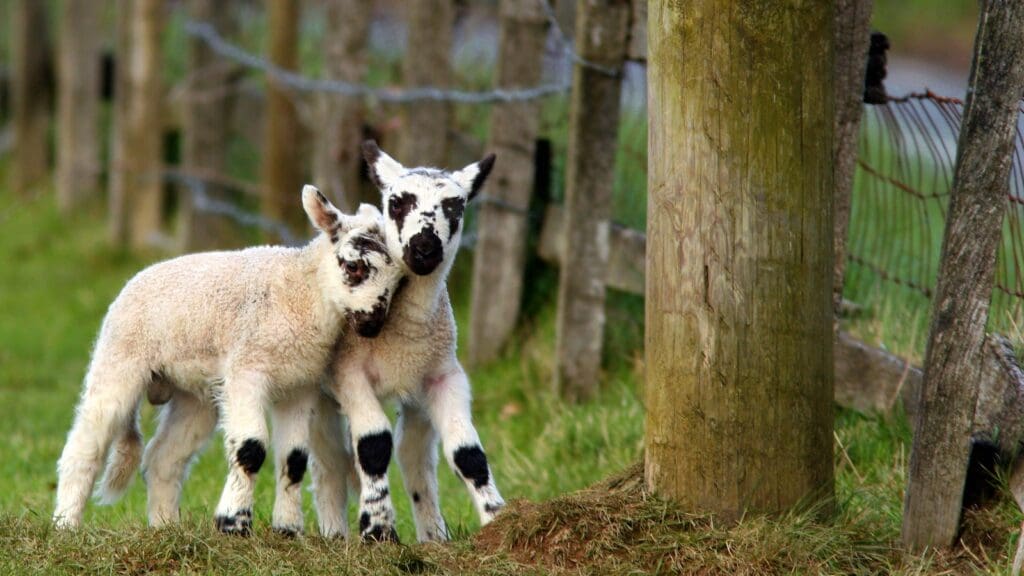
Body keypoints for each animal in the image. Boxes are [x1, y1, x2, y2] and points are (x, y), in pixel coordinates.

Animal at [52, 187, 405, 534]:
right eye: (354, 267)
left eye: (399, 281)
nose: (373, 324)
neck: (302, 294)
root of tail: (135, 279)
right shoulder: (246, 371)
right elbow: (251, 448)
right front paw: (234, 525)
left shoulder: (300, 384)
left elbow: (294, 459)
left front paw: (287, 530)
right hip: (120, 357)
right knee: (86, 444)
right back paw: (66, 525)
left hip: (195, 394)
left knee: (163, 458)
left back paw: (166, 528)